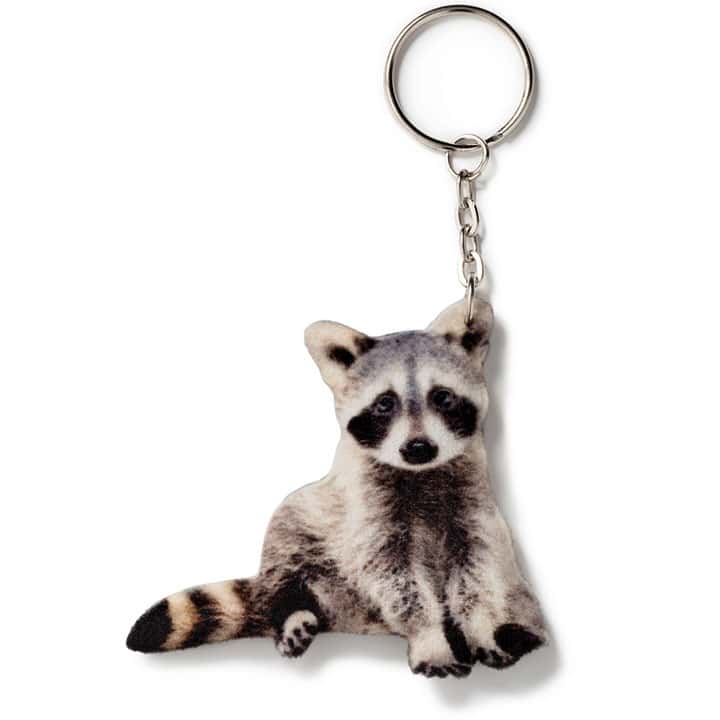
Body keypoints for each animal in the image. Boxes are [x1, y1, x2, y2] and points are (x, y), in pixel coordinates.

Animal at [126, 298, 546, 678]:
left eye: (442, 396)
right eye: (384, 404)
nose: (418, 447)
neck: (420, 473)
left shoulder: (473, 505)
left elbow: (479, 570)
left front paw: (481, 628)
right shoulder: (367, 511)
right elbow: (395, 578)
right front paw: (429, 637)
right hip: (300, 525)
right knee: (285, 554)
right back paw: (292, 610)